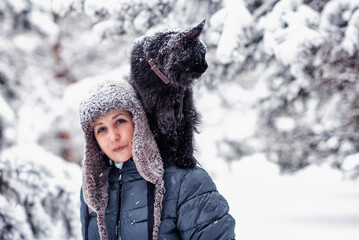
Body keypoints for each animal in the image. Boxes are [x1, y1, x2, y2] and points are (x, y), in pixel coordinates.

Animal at [129, 19, 208, 168]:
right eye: (201, 54)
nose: (206, 66)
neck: (165, 82)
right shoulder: (150, 110)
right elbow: (156, 134)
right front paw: (161, 155)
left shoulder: (185, 107)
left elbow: (186, 134)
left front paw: (185, 159)